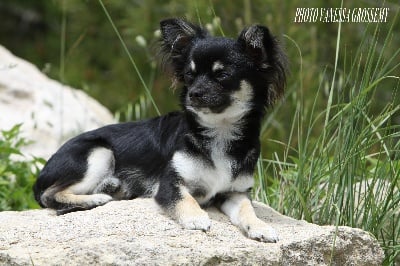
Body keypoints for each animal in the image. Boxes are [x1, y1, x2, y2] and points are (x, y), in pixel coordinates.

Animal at [32, 17, 286, 243]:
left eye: (222, 75)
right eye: (189, 75)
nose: (193, 93)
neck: (219, 132)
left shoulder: (235, 193)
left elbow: (247, 210)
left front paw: (261, 227)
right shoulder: (170, 185)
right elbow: (185, 199)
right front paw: (196, 217)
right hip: (100, 153)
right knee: (49, 195)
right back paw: (94, 200)